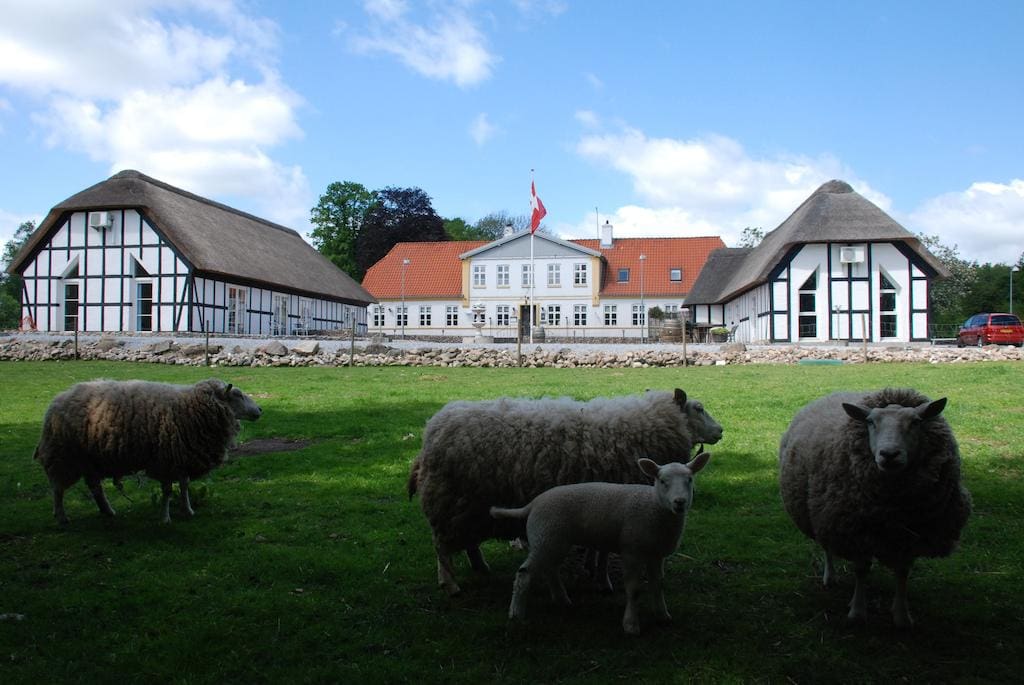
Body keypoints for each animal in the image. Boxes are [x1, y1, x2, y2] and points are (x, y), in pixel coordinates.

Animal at [34, 378, 262, 524]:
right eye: (238, 394)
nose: (260, 410)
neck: (191, 407)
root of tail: (58, 399)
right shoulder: (166, 459)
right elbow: (168, 491)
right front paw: (165, 518)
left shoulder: (182, 457)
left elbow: (184, 485)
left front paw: (188, 510)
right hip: (64, 456)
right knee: (58, 489)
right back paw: (62, 517)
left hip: (89, 460)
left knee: (94, 487)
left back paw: (107, 511)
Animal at [403, 389, 724, 593]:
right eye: (698, 408)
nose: (721, 431)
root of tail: (432, 427)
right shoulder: (612, 502)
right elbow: (604, 552)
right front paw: (603, 580)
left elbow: (597, 549)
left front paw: (593, 572)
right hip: (449, 501)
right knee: (441, 546)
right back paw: (450, 584)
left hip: (471, 505)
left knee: (468, 541)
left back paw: (481, 568)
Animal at [491, 450, 708, 634]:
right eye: (662, 481)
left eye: (690, 480)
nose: (679, 502)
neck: (654, 507)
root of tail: (533, 503)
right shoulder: (632, 551)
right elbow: (634, 590)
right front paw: (631, 624)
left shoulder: (656, 554)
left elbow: (657, 585)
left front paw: (662, 615)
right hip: (546, 536)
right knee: (524, 574)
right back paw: (516, 614)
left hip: (552, 540)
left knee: (550, 569)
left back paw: (562, 600)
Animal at [778, 384, 970, 626]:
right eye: (870, 422)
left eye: (916, 422)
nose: (889, 454)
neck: (892, 507)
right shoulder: (856, 531)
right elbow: (861, 570)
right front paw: (857, 612)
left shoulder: (911, 537)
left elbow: (903, 572)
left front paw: (901, 615)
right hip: (823, 514)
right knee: (827, 547)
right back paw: (829, 577)